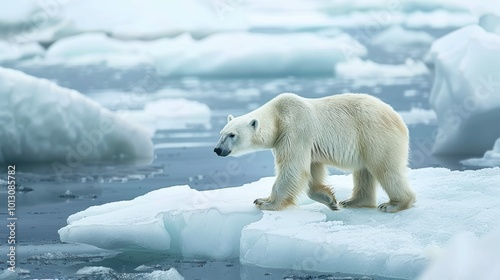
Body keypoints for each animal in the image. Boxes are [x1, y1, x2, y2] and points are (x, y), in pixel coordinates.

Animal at [213, 93, 416, 213]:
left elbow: (293, 168)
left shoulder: (295, 130)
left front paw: (266, 203)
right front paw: (330, 199)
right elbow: (312, 169)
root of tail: (399, 119)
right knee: (363, 171)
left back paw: (394, 204)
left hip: (375, 135)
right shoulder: (306, 143)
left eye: (232, 135)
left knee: (385, 168)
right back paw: (353, 201)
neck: (278, 115)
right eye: (221, 133)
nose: (217, 149)